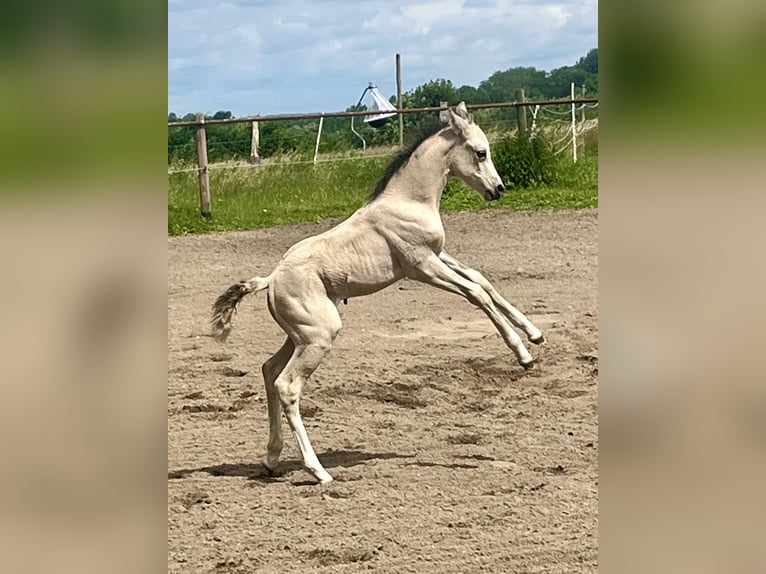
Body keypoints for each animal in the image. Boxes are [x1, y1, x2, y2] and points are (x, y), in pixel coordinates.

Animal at [212, 103, 544, 486]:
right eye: (480, 153)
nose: (498, 189)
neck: (409, 201)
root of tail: (272, 279)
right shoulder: (422, 266)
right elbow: (476, 294)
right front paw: (523, 355)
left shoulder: (438, 255)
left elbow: (482, 279)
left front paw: (536, 334)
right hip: (319, 336)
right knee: (287, 386)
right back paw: (318, 471)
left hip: (300, 335)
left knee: (268, 371)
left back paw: (271, 458)